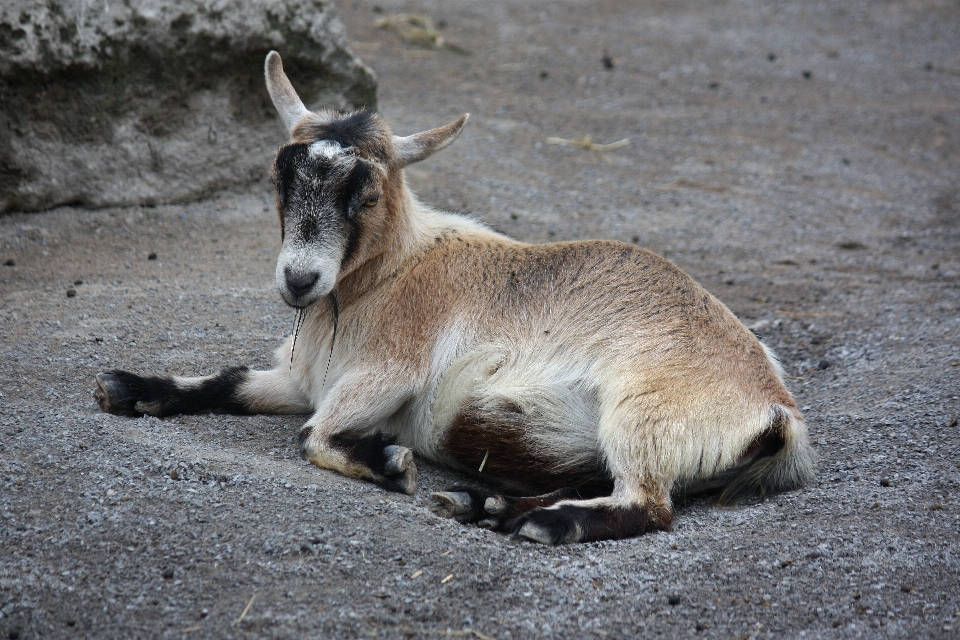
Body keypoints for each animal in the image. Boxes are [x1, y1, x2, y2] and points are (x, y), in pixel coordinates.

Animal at [94, 52, 812, 544]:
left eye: (367, 193)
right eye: (280, 177)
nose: (300, 280)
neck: (389, 274)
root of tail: (775, 408)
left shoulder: (391, 371)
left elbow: (311, 432)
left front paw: (391, 466)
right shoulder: (303, 377)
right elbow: (230, 382)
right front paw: (128, 388)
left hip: (643, 416)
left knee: (648, 505)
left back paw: (540, 525)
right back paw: (482, 505)